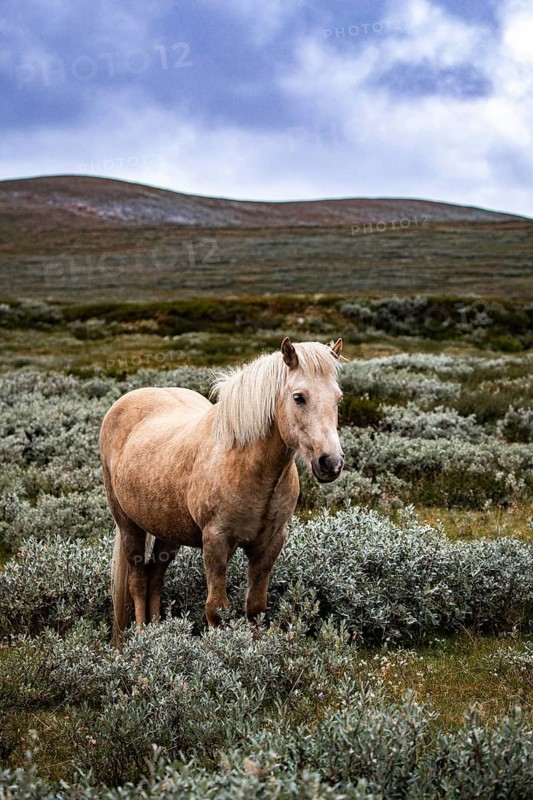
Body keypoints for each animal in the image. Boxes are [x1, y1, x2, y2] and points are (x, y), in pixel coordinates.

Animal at [100, 337, 344, 646]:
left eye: (338, 398)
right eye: (299, 397)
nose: (331, 462)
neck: (244, 464)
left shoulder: (270, 543)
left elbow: (255, 607)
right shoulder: (215, 541)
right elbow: (216, 609)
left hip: (168, 531)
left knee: (155, 575)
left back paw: (158, 635)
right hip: (128, 525)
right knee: (137, 580)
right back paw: (142, 638)